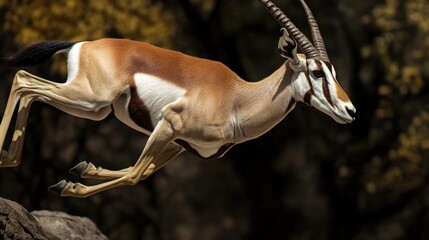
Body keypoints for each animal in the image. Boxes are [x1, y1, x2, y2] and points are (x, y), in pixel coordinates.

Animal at [0, 0, 354, 197]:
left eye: (334, 71)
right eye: (316, 72)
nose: (349, 110)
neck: (237, 98)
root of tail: (82, 43)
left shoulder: (180, 146)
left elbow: (140, 172)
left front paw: (82, 169)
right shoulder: (169, 126)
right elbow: (134, 174)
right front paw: (69, 186)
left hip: (94, 110)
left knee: (28, 87)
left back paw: (9, 160)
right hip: (88, 99)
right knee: (23, 81)